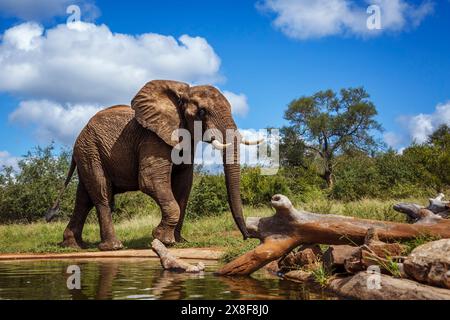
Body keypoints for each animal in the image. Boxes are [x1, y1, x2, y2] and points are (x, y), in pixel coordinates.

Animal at [47, 79, 258, 250]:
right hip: (91, 151)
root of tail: (78, 138)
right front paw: (163, 240)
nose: (247, 237)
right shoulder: (153, 139)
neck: (181, 94)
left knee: (84, 198)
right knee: (101, 193)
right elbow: (150, 180)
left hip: (88, 153)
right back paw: (113, 247)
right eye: (202, 112)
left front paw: (178, 241)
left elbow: (183, 186)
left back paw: (72, 245)